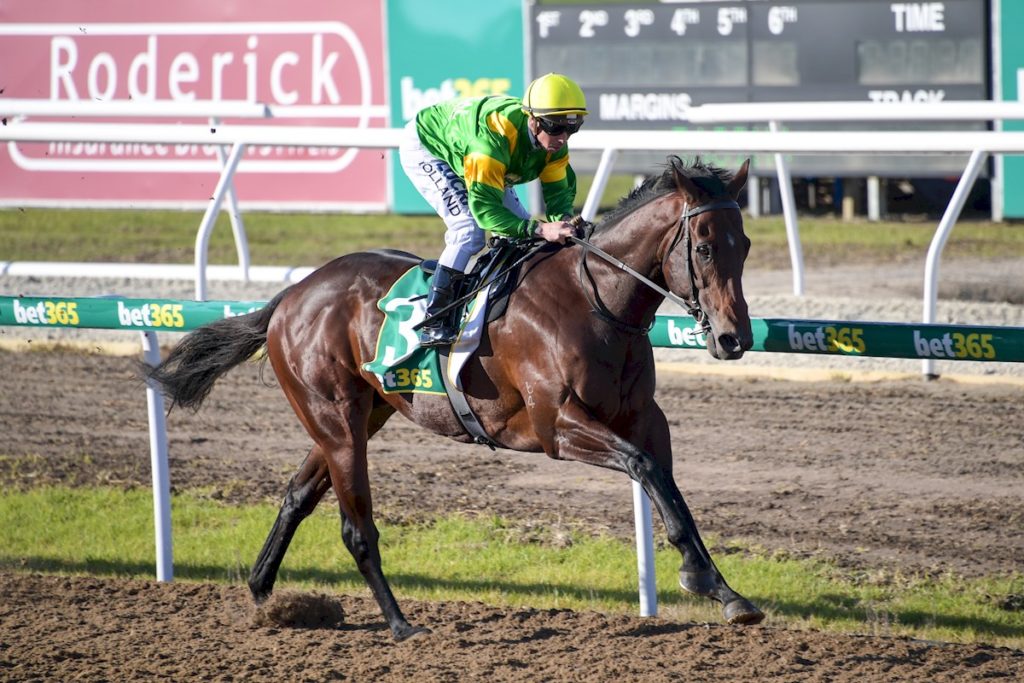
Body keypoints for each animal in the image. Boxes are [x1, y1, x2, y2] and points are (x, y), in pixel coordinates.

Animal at [148, 156, 765, 643]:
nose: (734, 338)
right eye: (704, 247)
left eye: (745, 246)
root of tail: (289, 296)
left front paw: (725, 590)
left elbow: (670, 489)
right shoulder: (557, 426)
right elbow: (646, 470)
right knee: (356, 528)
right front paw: (701, 579)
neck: (595, 300)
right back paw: (400, 624)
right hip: (335, 417)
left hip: (361, 414)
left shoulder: (643, 418)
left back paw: (263, 593)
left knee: (297, 495)